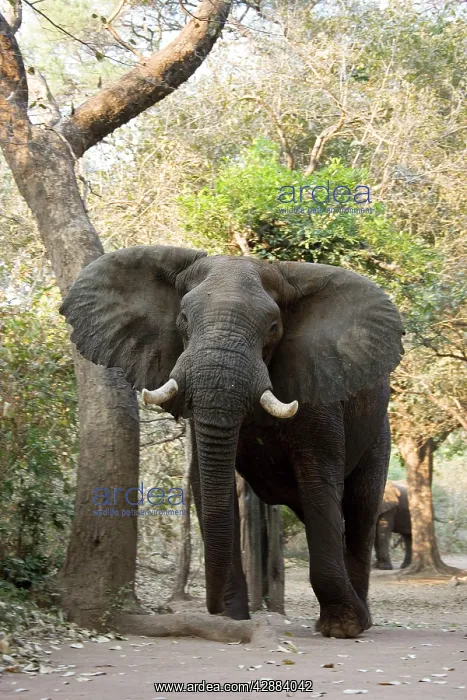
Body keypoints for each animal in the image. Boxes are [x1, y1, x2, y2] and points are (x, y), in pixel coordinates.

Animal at [60, 245, 404, 638]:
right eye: (182, 321)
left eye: (273, 328)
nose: (208, 606)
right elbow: (211, 485)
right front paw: (230, 618)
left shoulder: (317, 387)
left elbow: (318, 482)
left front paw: (341, 627)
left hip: (379, 433)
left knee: (360, 511)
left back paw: (362, 620)